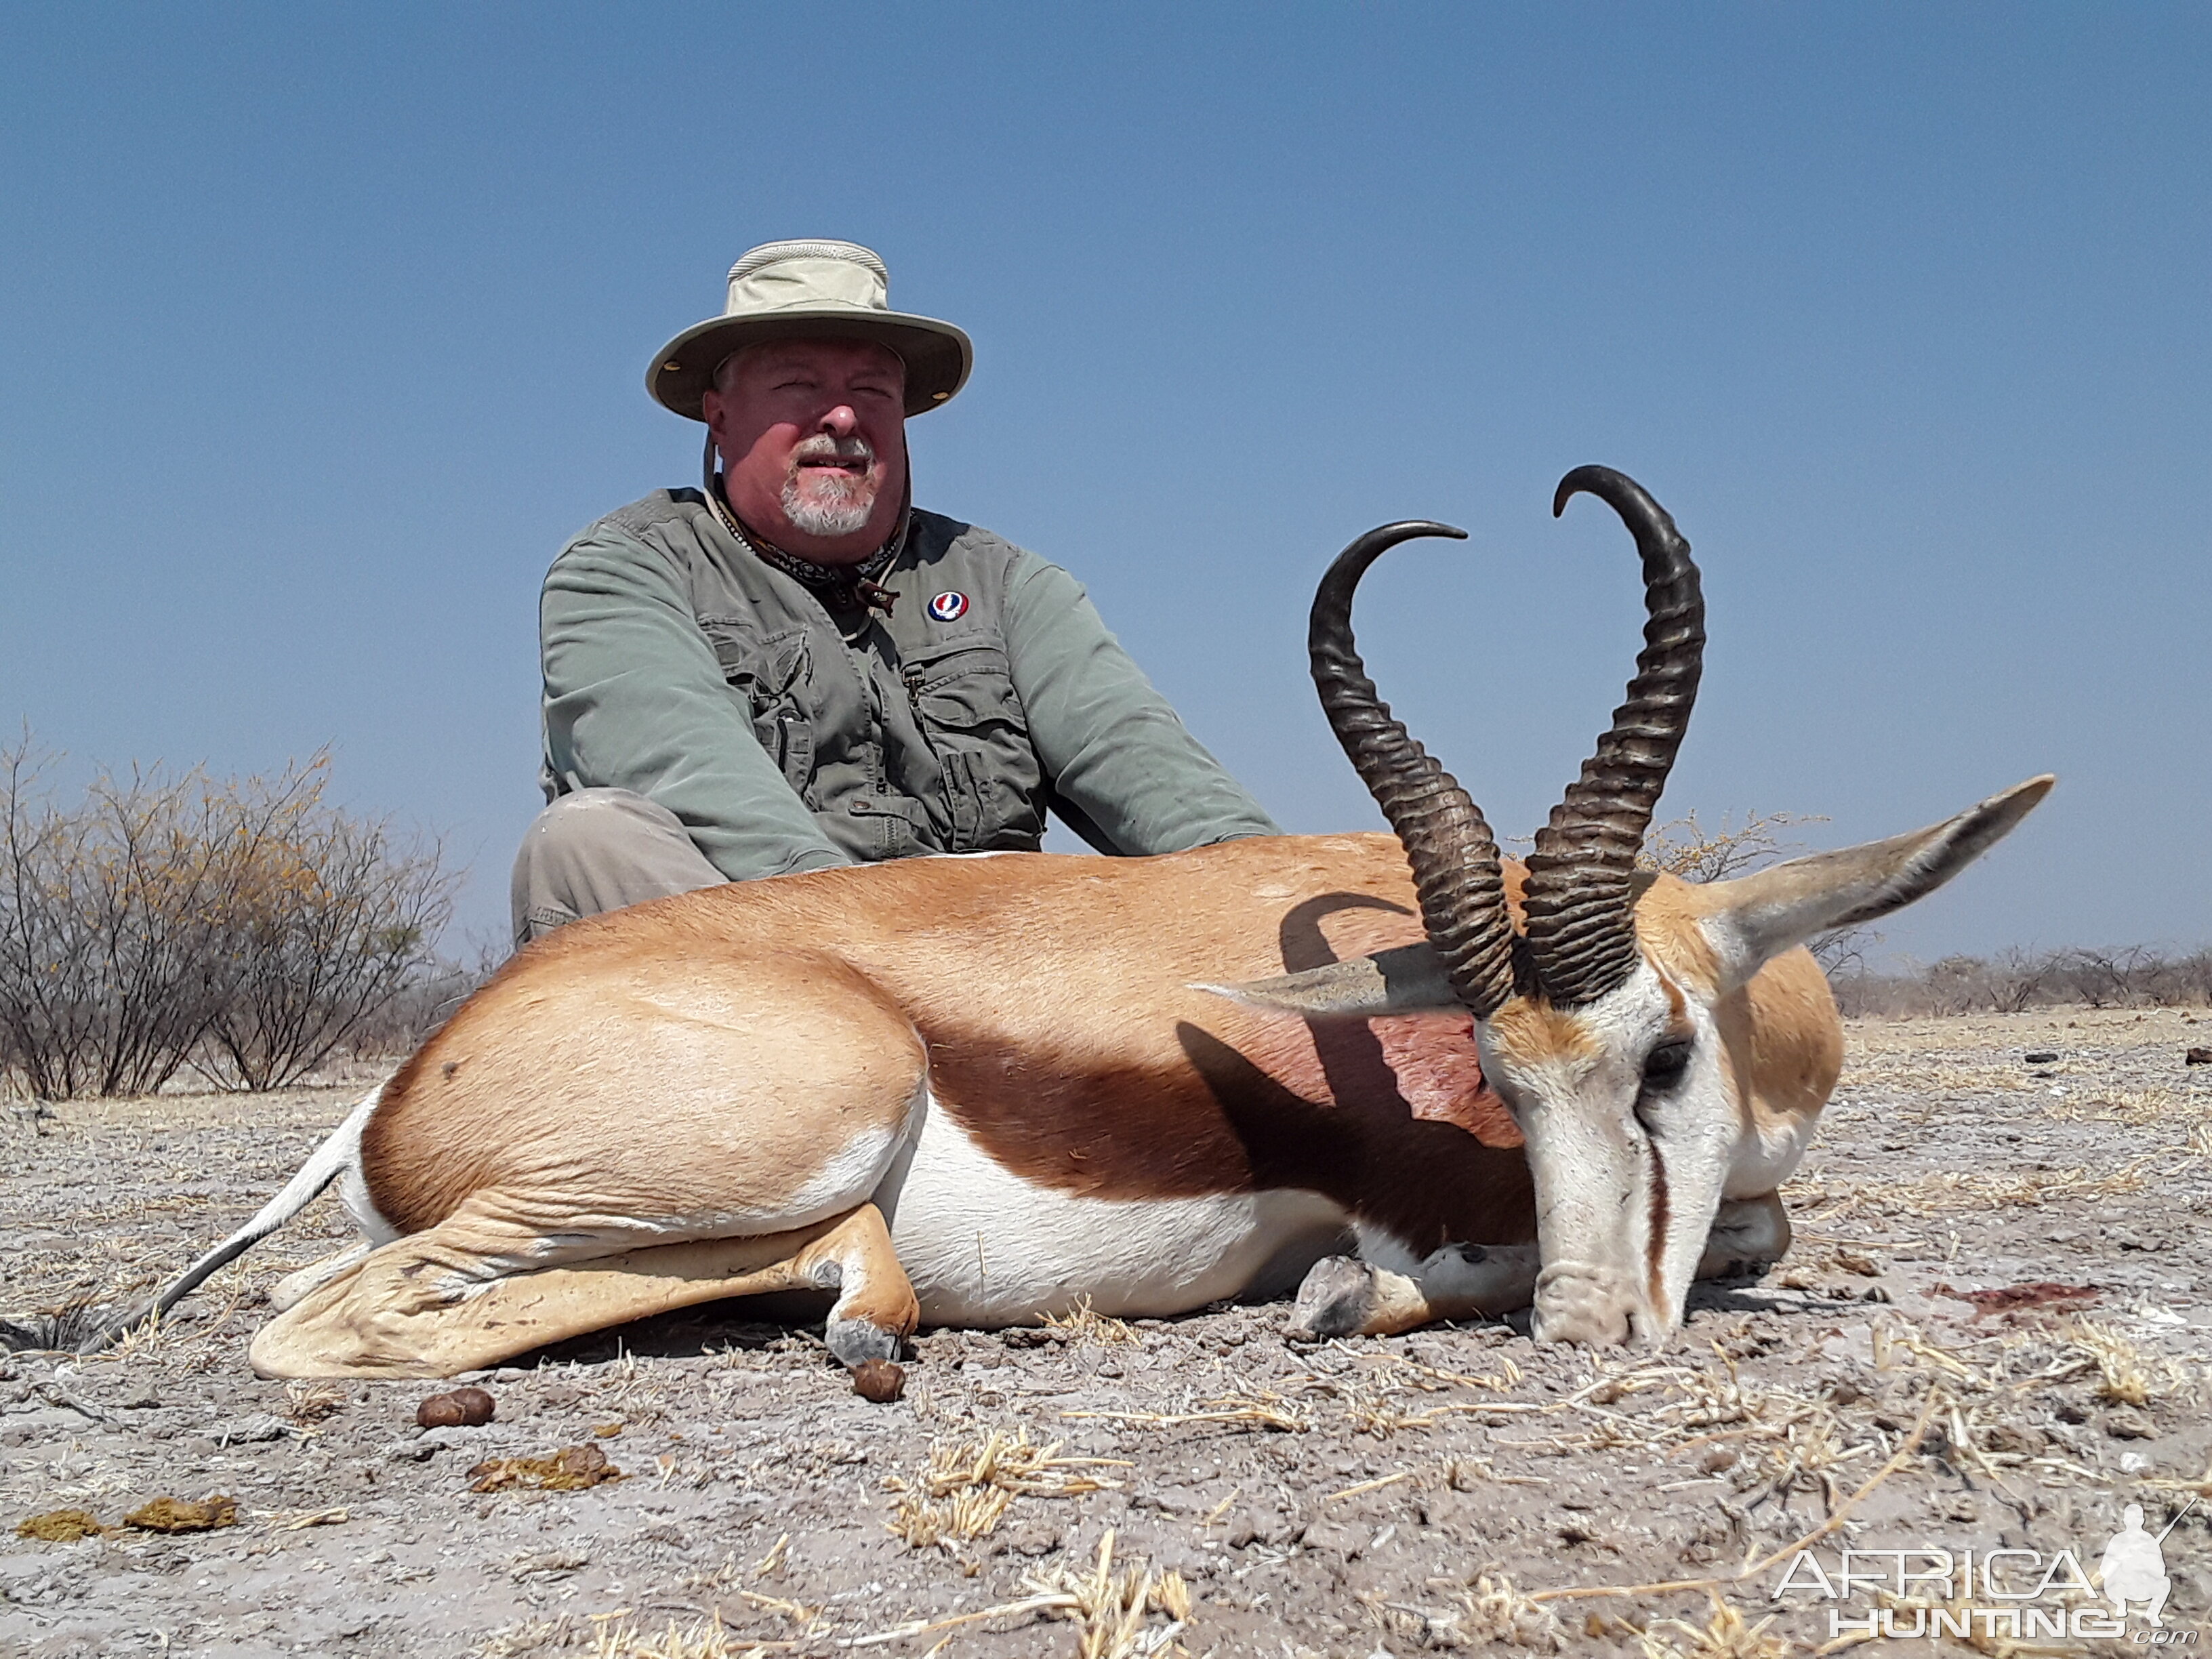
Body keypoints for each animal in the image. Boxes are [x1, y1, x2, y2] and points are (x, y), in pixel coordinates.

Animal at [60, 468, 2043, 1380]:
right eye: (1499, 1072)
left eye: (1662, 1054)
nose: (1581, 1324)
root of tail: (411, 1075)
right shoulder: (1432, 1199)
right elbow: (1687, 1241)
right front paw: (1352, 1293)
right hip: (786, 1132)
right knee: (337, 1324)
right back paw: (864, 1307)